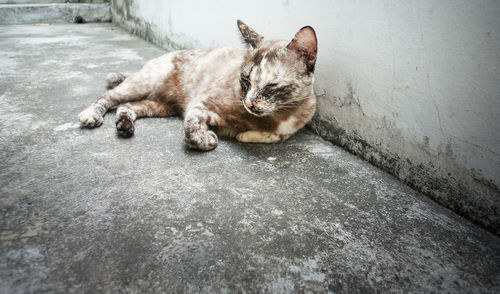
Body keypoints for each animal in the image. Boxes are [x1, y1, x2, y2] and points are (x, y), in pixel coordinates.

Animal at [79, 20, 318, 152]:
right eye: (245, 79)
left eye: (271, 85)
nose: (249, 103)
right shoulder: (202, 106)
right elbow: (191, 127)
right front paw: (206, 139)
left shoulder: (288, 129)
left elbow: (276, 137)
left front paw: (244, 135)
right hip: (140, 84)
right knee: (108, 98)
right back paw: (91, 115)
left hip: (160, 106)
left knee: (127, 106)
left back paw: (124, 125)